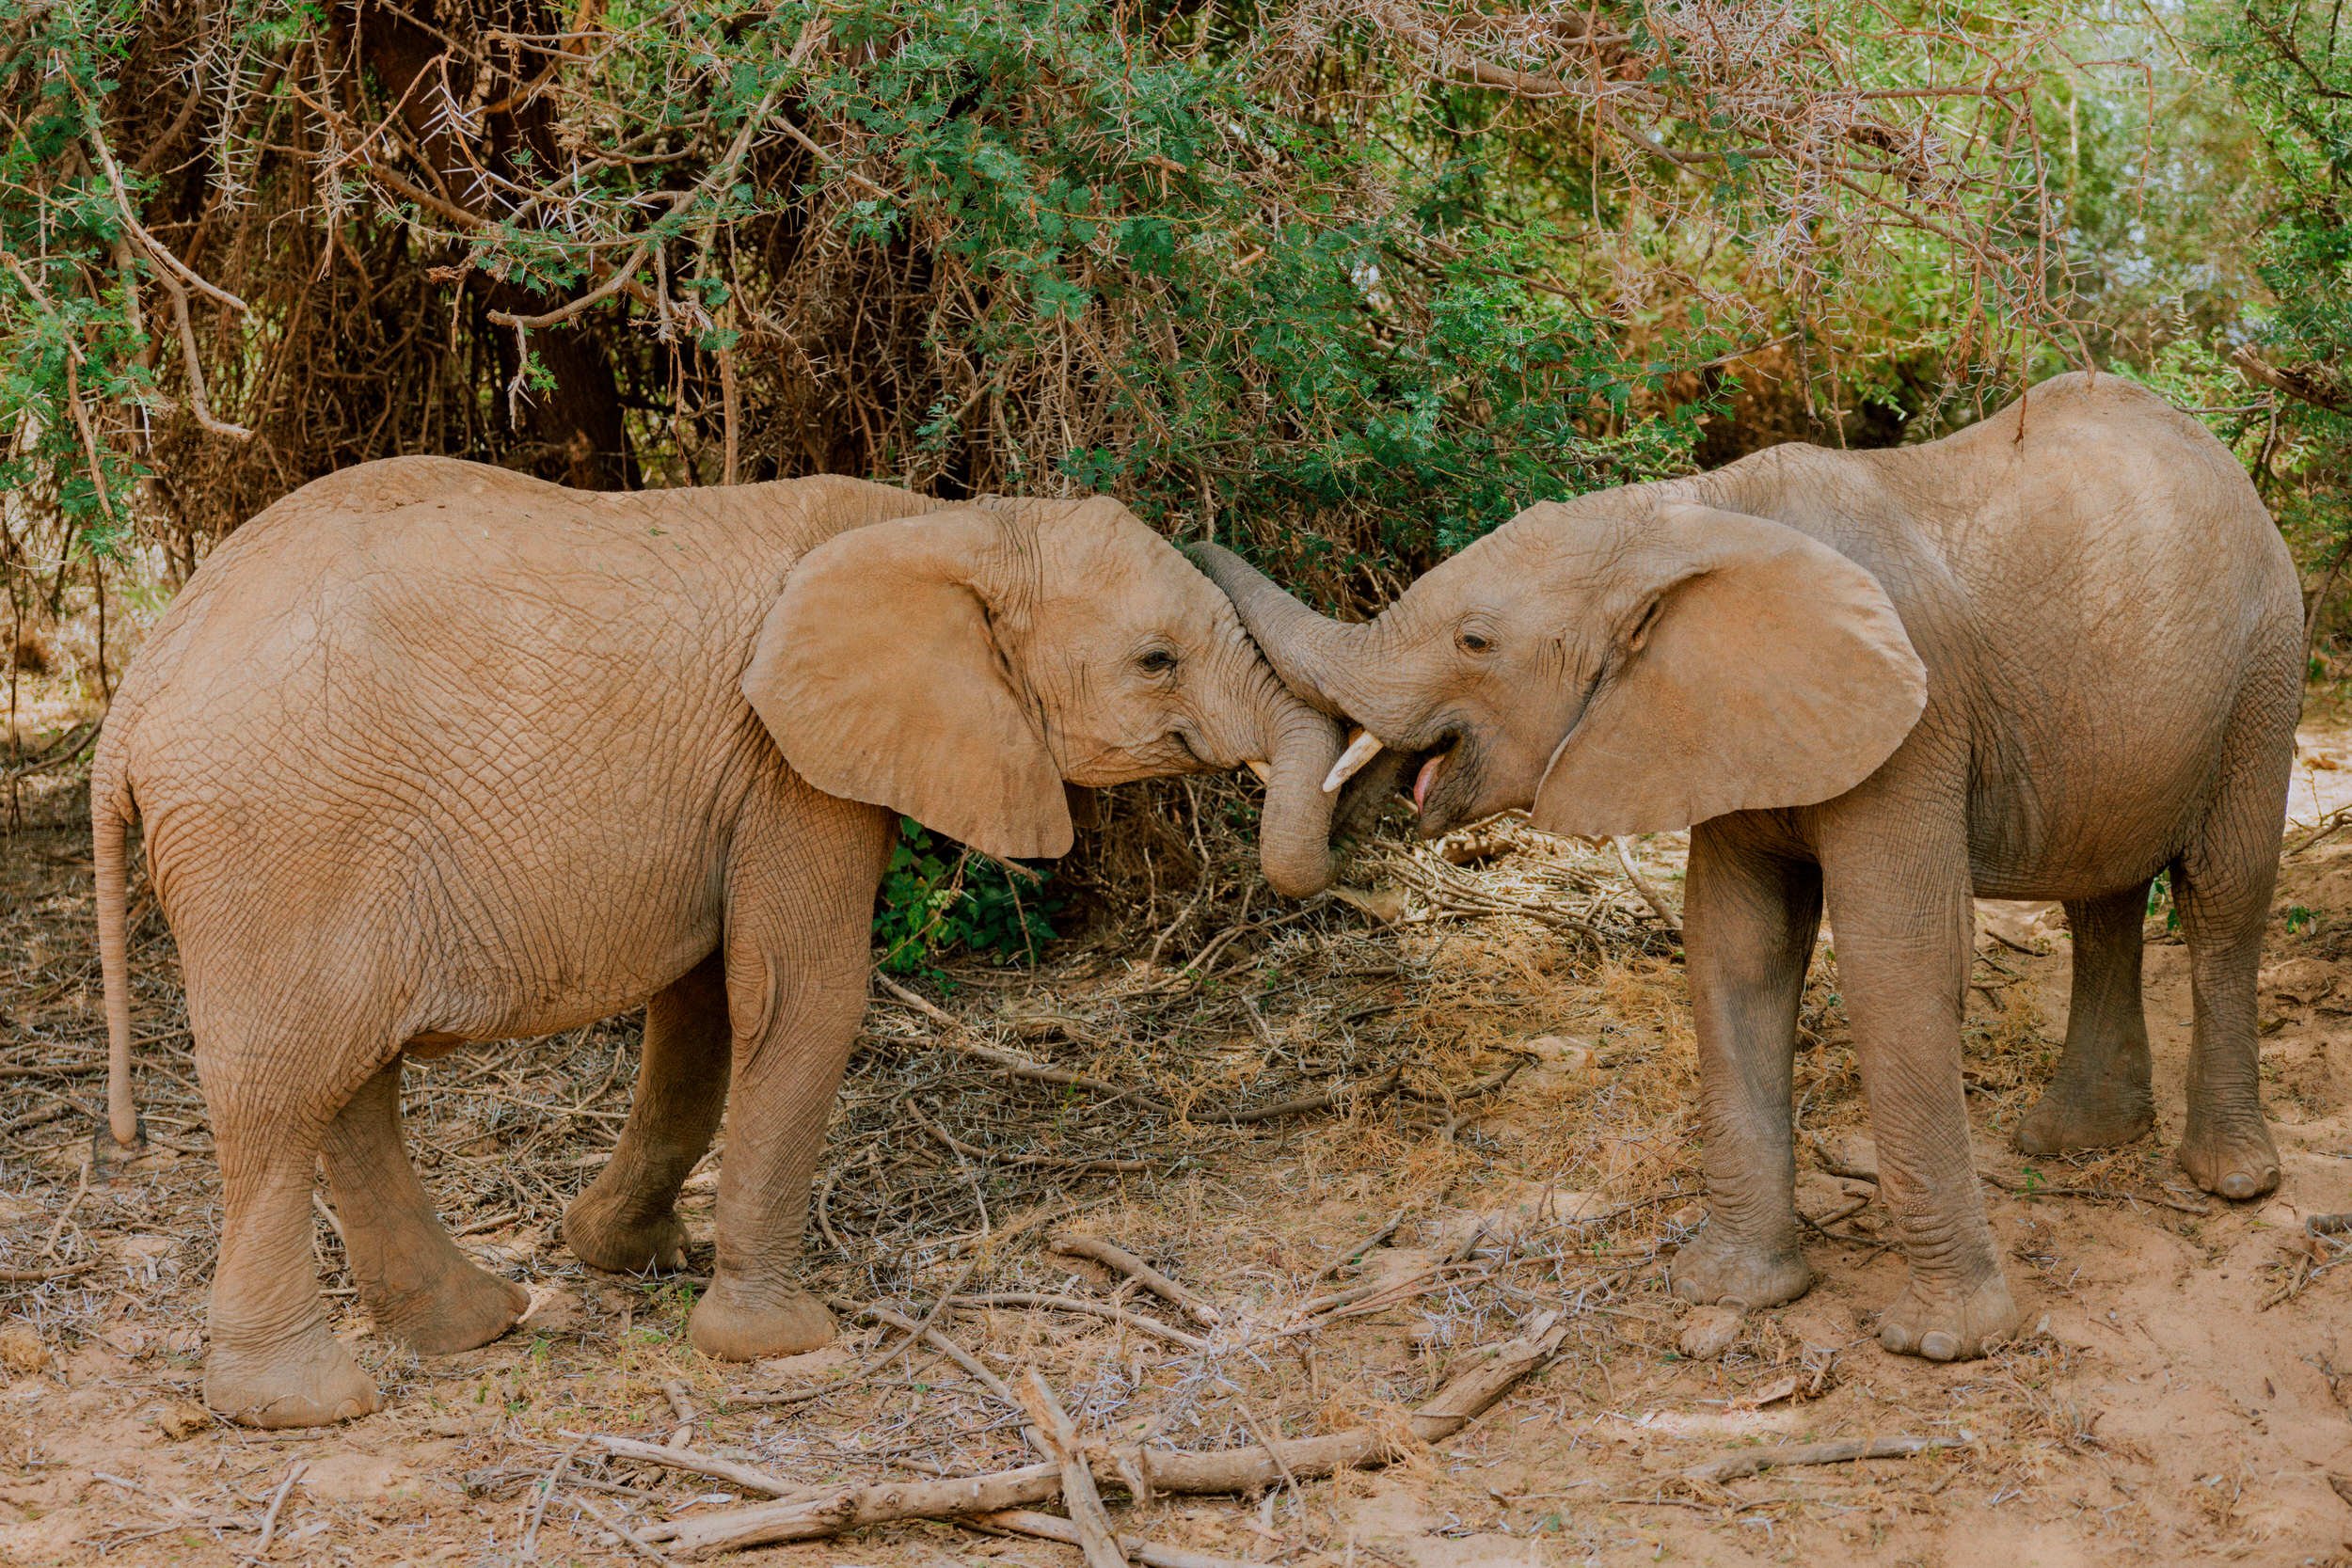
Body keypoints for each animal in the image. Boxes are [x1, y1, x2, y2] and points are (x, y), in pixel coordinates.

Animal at [91, 460, 1355, 1429]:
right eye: (1155, 661)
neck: (944, 520)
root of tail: (137, 688)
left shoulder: (745, 778)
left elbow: (699, 1002)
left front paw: (623, 1252)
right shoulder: (792, 764)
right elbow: (804, 992)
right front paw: (780, 1339)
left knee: (349, 1080)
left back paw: (475, 1323)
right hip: (277, 838)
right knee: (282, 1092)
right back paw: (304, 1404)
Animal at [1204, 371, 2305, 1363]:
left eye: (1475, 641)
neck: (1676, 516)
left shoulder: (1917, 722)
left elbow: (1895, 962)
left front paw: (1942, 1343)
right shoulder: (1718, 721)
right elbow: (1738, 955)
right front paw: (1732, 1292)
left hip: (2267, 669)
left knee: (2221, 900)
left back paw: (2230, 1180)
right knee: (2101, 894)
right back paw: (2074, 1143)